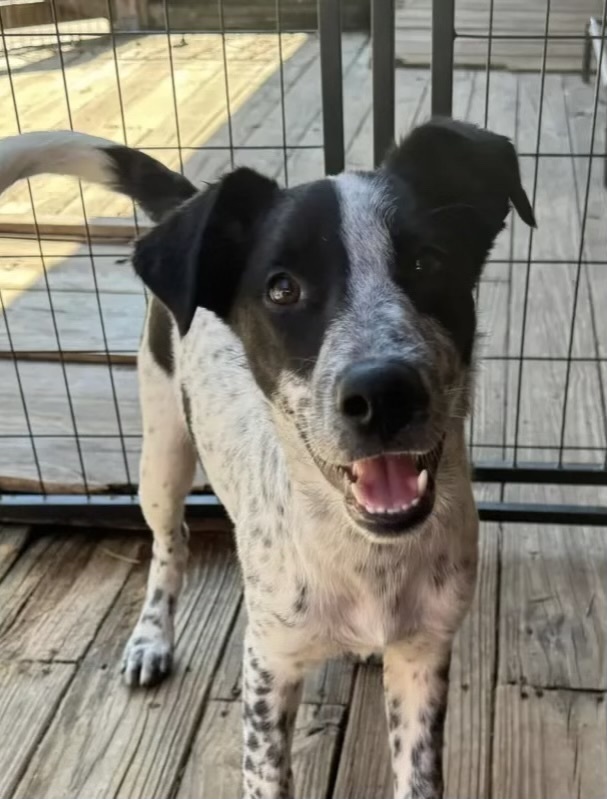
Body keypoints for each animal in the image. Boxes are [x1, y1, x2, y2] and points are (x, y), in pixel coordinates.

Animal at [0, 120, 536, 799]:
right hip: (162, 454)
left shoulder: (424, 656)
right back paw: (151, 636)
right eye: (282, 289)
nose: (384, 393)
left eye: (427, 263)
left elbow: (417, 775)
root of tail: (188, 203)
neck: (367, 559)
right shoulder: (268, 667)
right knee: (168, 542)